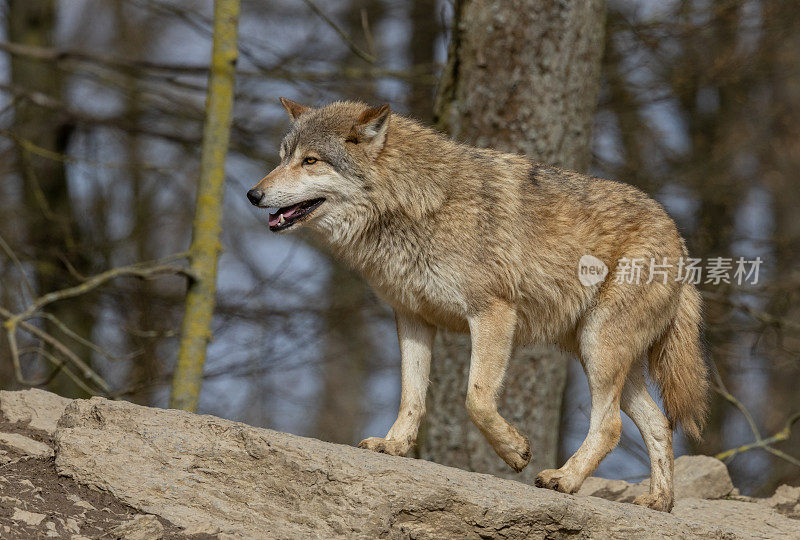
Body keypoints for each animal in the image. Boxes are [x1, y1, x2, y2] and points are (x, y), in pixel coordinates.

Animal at [247, 98, 708, 510]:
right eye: (283, 157)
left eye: (310, 161)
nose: (253, 193)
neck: (416, 203)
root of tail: (680, 241)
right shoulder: (412, 318)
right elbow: (411, 395)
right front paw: (394, 445)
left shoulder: (493, 313)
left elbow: (477, 399)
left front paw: (516, 452)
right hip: (600, 356)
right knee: (659, 423)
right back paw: (658, 502)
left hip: (599, 349)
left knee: (611, 426)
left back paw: (564, 479)